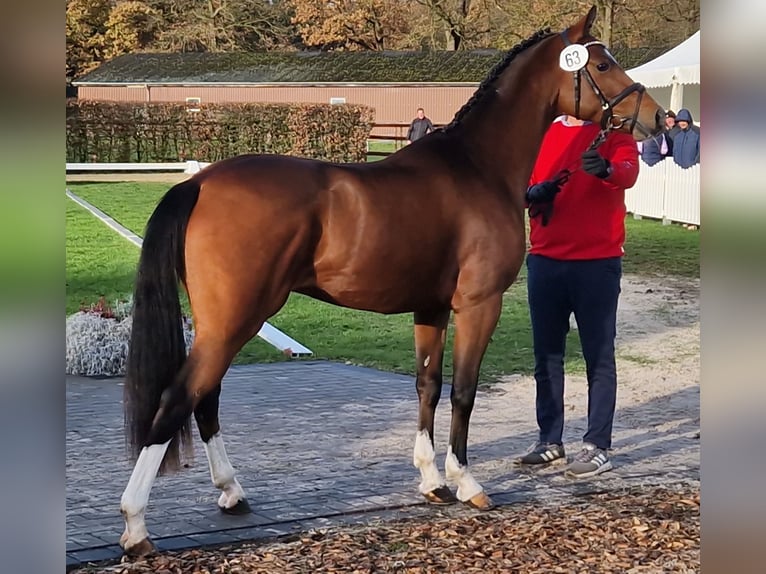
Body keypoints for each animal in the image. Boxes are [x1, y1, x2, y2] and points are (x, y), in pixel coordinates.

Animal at [118, 6, 664, 556]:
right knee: (177, 400)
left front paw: (431, 481)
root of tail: (199, 182)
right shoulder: (478, 304)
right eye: (602, 63)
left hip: (221, 322)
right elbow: (464, 391)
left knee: (205, 399)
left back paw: (231, 493)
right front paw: (466, 482)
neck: (477, 167)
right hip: (236, 320)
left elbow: (428, 385)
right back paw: (136, 526)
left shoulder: (431, 308)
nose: (657, 117)